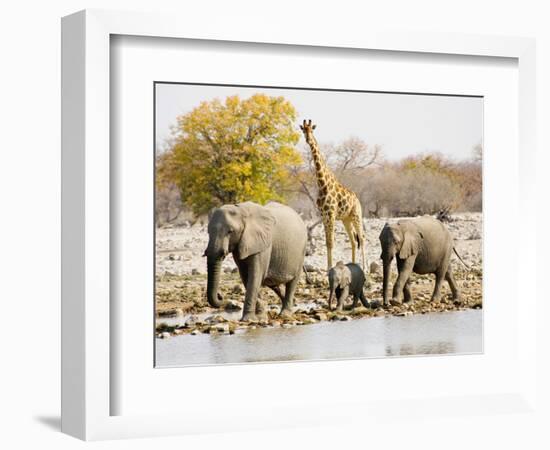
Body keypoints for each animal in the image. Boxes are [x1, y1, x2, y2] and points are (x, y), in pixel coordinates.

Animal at [302, 119, 366, 270]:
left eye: (312, 130)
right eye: (303, 130)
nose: (308, 139)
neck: (322, 184)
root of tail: (357, 199)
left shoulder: (330, 214)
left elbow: (331, 242)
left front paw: (330, 267)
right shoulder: (324, 215)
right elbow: (327, 242)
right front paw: (328, 267)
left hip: (356, 215)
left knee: (361, 238)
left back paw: (365, 267)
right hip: (346, 219)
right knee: (353, 240)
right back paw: (353, 264)